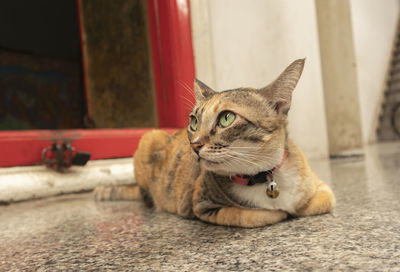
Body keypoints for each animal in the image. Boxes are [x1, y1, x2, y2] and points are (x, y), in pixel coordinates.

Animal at [95, 59, 336, 227]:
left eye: (227, 118)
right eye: (193, 121)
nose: (194, 145)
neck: (263, 176)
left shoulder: (321, 187)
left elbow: (320, 202)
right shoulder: (201, 204)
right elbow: (258, 216)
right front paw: (279, 212)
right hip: (149, 137)